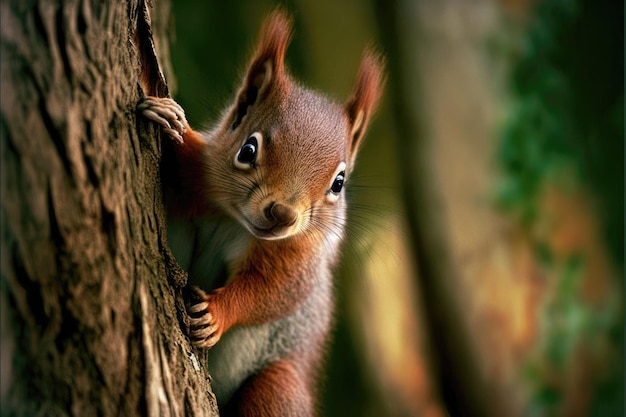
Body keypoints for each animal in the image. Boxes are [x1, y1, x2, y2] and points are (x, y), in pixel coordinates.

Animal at [138, 9, 380, 416]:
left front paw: (217, 313)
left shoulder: (297, 258)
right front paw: (169, 121)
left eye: (339, 183)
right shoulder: (195, 181)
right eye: (248, 150)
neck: (233, 220)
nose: (283, 213)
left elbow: (270, 293)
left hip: (276, 387)